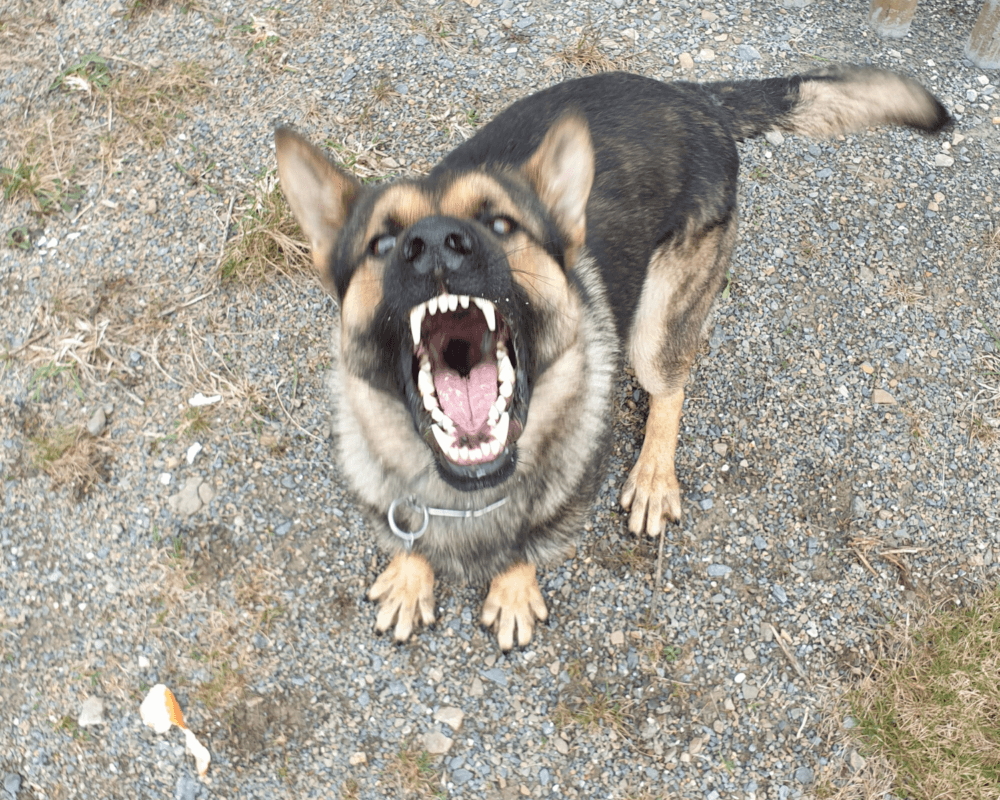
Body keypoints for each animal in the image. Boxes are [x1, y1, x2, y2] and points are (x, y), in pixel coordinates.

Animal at [278, 65, 948, 648]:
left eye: (502, 224)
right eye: (382, 242)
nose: (437, 245)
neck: (465, 491)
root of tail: (690, 95)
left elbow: (526, 544)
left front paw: (512, 591)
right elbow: (410, 533)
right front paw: (411, 574)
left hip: (655, 329)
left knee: (671, 386)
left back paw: (652, 476)